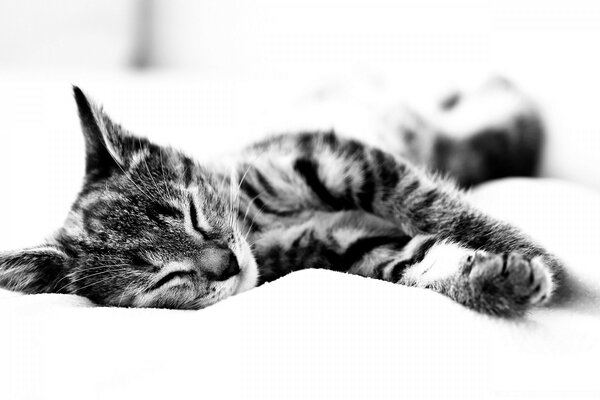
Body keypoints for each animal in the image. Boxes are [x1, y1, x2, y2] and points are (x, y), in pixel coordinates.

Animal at [0, 82, 564, 316]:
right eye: (162, 279)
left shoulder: (332, 155)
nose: (226, 264)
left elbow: (428, 202)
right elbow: (417, 261)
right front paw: (497, 279)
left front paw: (528, 251)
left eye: (191, 212)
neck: (257, 227)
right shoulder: (346, 246)